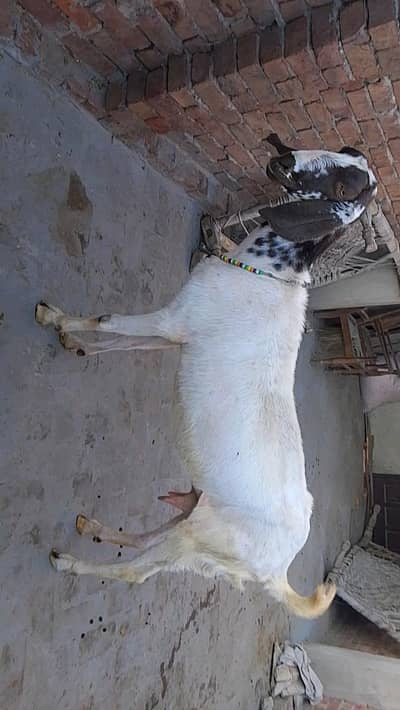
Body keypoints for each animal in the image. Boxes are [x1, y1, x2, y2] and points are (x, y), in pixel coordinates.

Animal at [35, 142, 377, 619]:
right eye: (346, 153)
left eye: (345, 188)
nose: (283, 159)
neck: (270, 271)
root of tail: (277, 573)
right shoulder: (177, 333)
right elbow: (121, 342)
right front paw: (75, 344)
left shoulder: (175, 319)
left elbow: (108, 319)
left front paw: (54, 319)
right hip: (198, 514)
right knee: (150, 537)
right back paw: (96, 528)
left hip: (202, 536)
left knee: (136, 571)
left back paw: (69, 562)